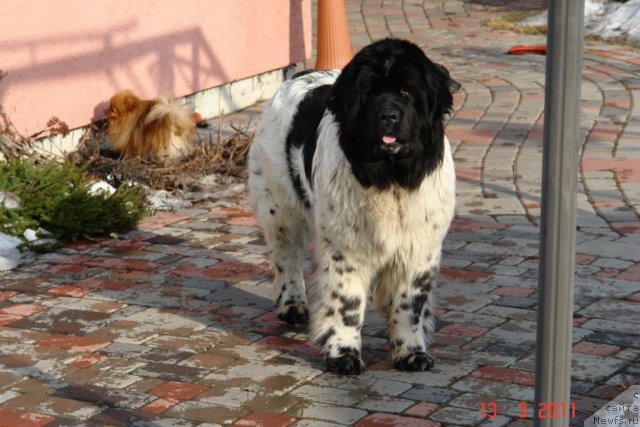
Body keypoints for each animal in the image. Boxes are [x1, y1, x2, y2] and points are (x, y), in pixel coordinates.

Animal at [246, 39, 460, 374]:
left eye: (406, 92)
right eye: (370, 94)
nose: (389, 115)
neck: (390, 178)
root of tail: (302, 74)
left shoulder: (418, 248)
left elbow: (409, 304)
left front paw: (411, 352)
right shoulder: (345, 247)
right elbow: (347, 302)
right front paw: (343, 355)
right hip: (279, 207)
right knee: (287, 257)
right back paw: (292, 305)